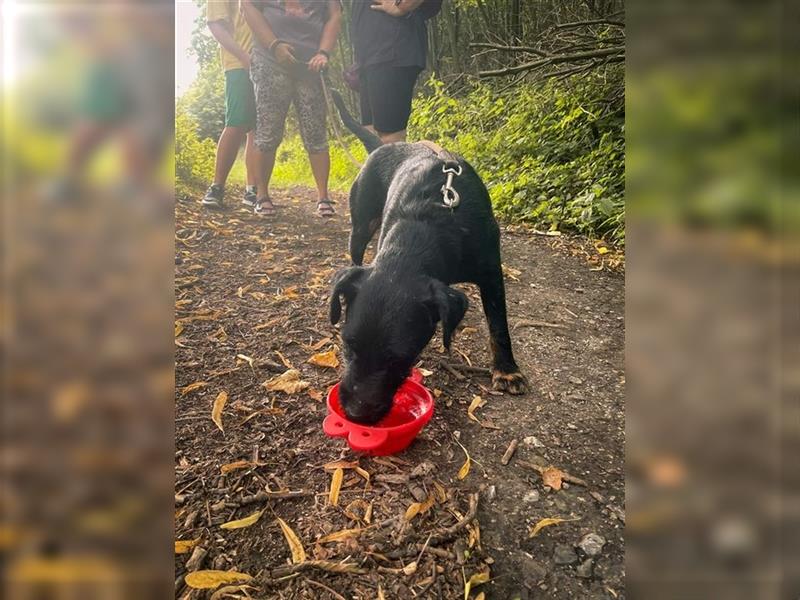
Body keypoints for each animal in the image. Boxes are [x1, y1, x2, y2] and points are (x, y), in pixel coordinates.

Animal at [328, 91, 528, 424]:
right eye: (348, 344)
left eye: (401, 357)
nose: (355, 414)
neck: (430, 221)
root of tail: (381, 145)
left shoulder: (491, 272)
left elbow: (499, 324)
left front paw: (507, 370)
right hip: (361, 226)